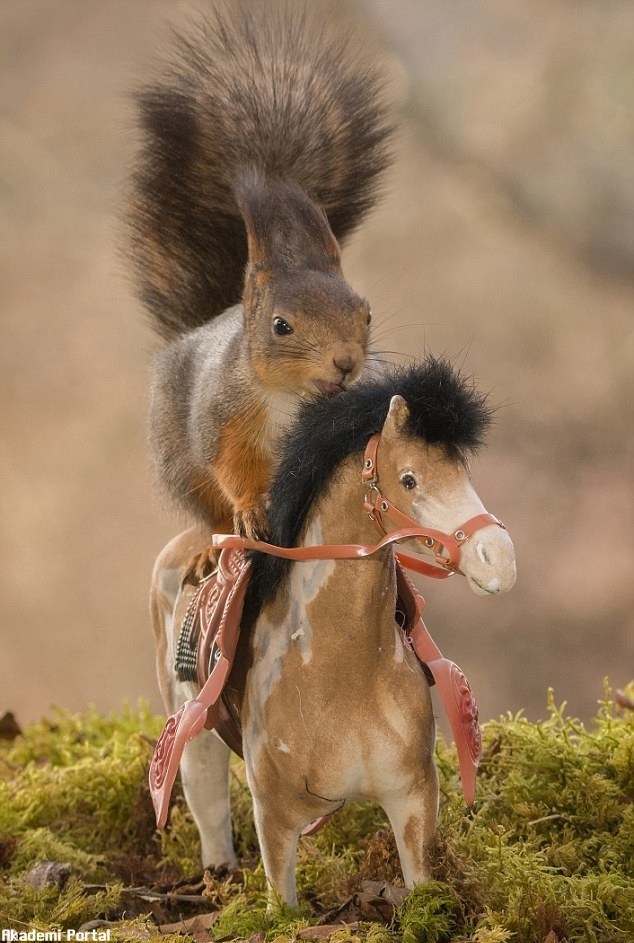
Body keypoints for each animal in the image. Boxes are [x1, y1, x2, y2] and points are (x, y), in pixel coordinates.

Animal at [127, 3, 393, 558]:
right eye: (281, 326)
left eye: (366, 315)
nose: (346, 362)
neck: (293, 399)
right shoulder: (224, 421)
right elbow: (236, 470)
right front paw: (251, 511)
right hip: (181, 466)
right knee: (209, 508)